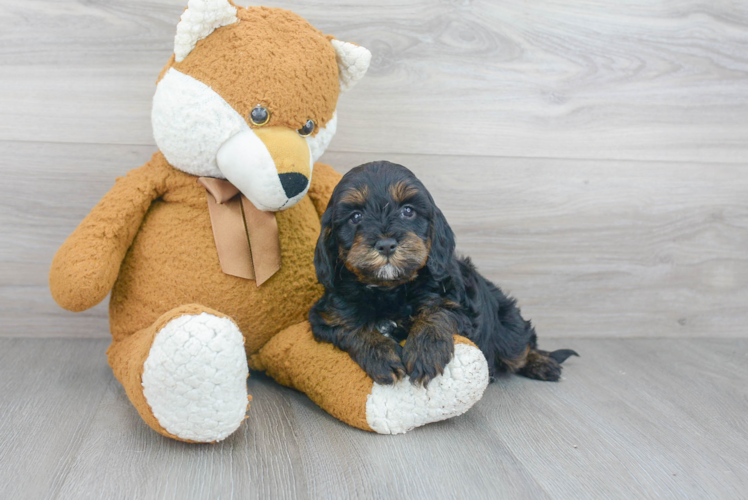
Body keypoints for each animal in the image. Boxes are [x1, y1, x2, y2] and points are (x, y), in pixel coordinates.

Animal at [306, 161, 576, 386]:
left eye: (408, 211)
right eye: (355, 217)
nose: (386, 244)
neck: (390, 289)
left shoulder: (460, 304)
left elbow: (439, 311)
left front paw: (425, 351)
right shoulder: (327, 316)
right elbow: (351, 327)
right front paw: (380, 354)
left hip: (508, 328)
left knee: (521, 347)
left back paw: (542, 363)